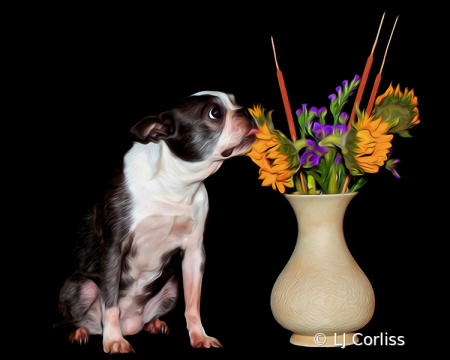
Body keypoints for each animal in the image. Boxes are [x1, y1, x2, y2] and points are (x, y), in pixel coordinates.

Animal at [56, 90, 258, 352]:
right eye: (214, 113)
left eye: (236, 101)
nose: (246, 111)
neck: (175, 184)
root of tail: (130, 324)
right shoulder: (114, 248)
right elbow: (110, 301)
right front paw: (114, 340)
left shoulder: (194, 253)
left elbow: (193, 304)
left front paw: (199, 336)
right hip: (82, 286)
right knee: (78, 316)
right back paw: (80, 332)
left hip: (171, 284)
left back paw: (154, 324)